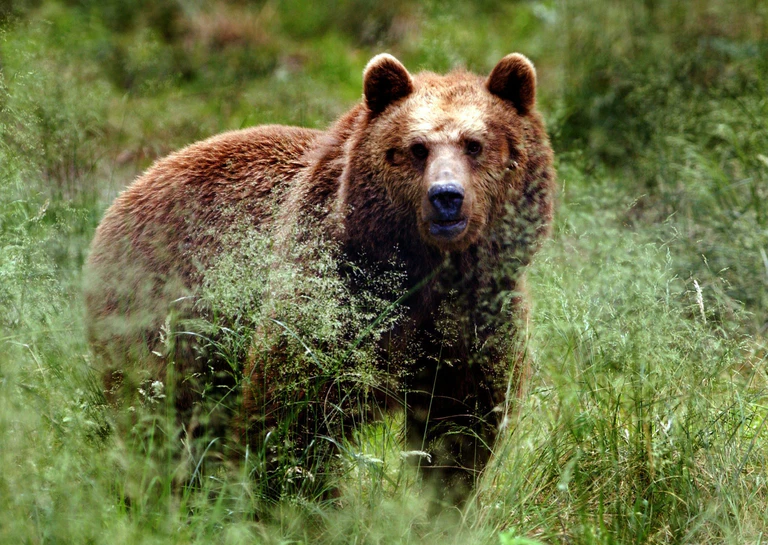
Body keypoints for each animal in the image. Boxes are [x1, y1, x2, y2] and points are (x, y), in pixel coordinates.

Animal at [83, 52, 555, 503]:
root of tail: (132, 187)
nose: (446, 198)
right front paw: (298, 502)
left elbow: (460, 427)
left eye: (475, 144)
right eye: (416, 148)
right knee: (159, 410)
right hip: (164, 310)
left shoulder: (476, 314)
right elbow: (295, 413)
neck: (423, 272)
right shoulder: (335, 293)